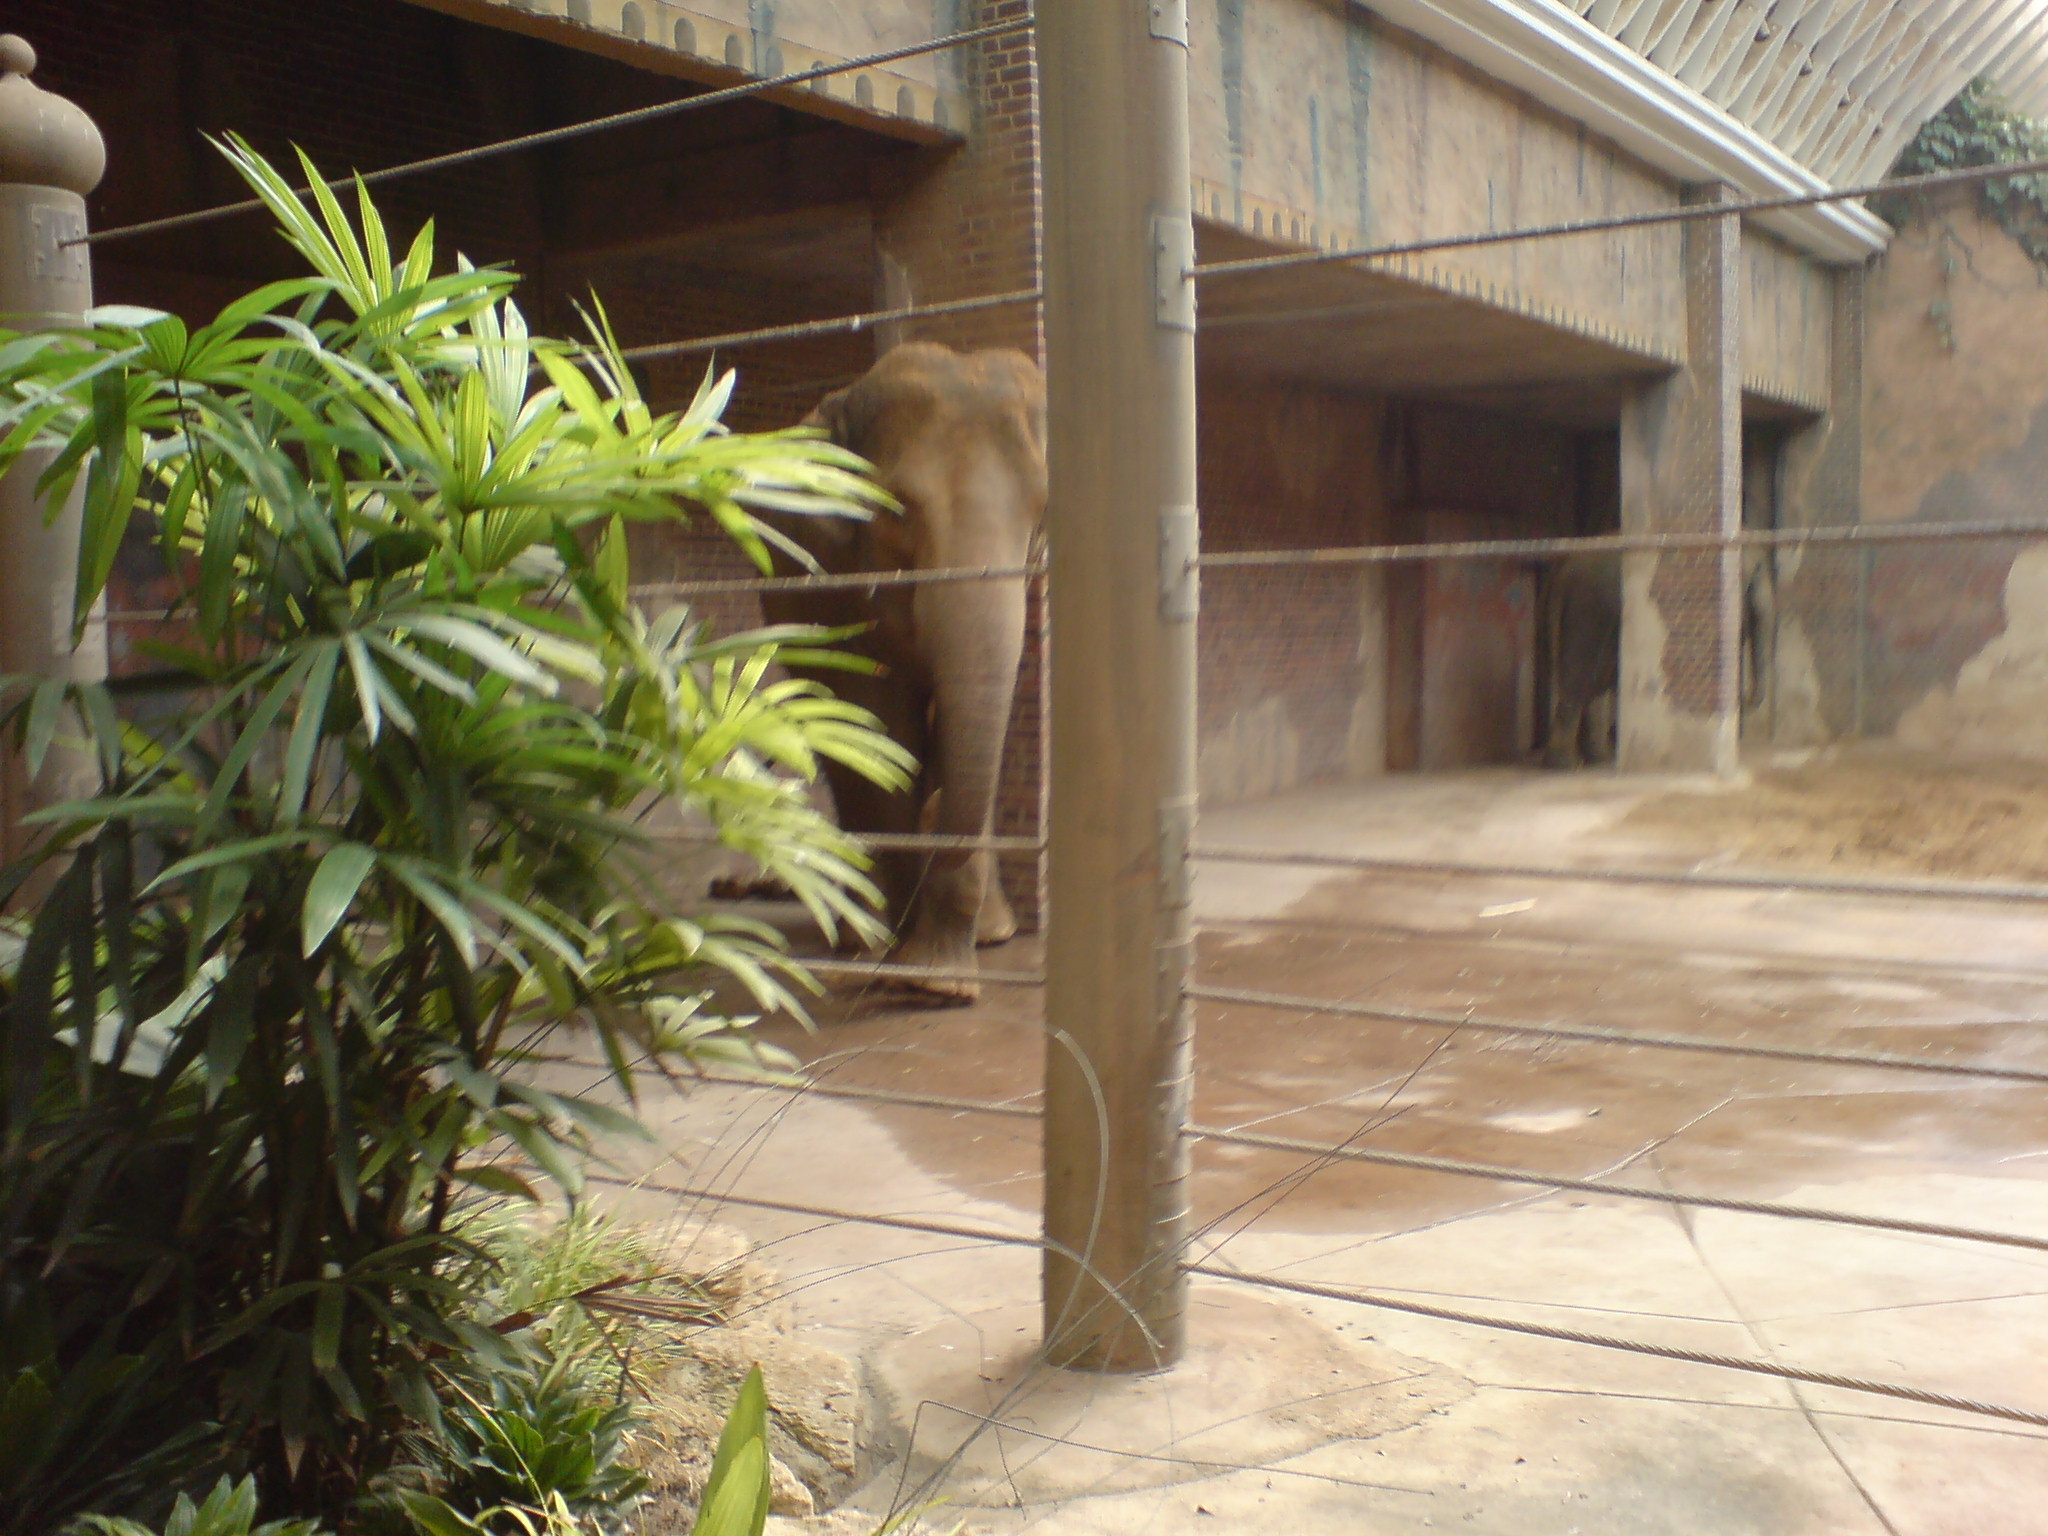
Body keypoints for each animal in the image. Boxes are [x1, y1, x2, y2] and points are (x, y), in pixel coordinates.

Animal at [758, 342, 1047, 1004]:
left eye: (1043, 514)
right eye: (900, 511)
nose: (935, 815)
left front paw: (942, 982)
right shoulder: (834, 575)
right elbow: (880, 722)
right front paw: (918, 976)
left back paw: (986, 934)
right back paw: (862, 939)